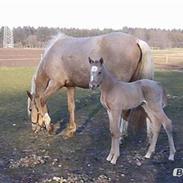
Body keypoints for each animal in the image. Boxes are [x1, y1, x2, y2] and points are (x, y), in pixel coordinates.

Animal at [26, 32, 154, 139]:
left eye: (31, 109)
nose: (34, 129)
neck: (52, 55)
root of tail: (136, 41)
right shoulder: (70, 86)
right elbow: (71, 107)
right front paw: (71, 130)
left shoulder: (56, 83)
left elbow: (42, 99)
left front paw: (50, 127)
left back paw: (120, 135)